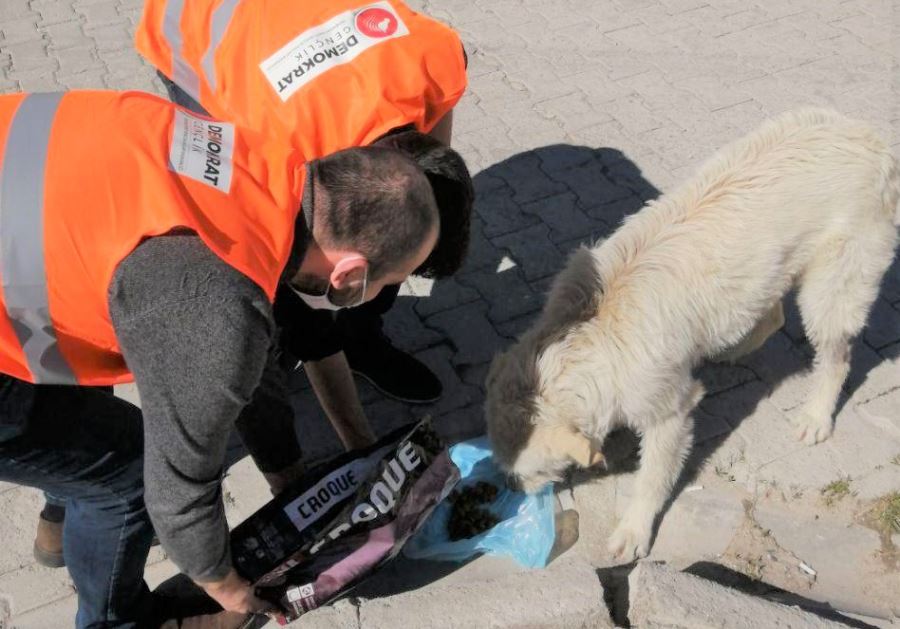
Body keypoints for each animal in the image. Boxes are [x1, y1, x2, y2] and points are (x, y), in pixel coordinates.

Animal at [486, 108, 900, 560]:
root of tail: (873, 141)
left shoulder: (670, 410)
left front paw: (634, 528)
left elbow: (652, 477)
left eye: (529, 469)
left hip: (833, 287)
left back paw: (816, 415)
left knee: (836, 356)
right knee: (772, 313)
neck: (588, 330)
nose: (506, 485)